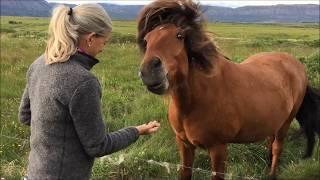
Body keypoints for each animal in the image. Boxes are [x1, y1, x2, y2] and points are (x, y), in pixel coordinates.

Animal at [136, 0, 316, 179]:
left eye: (179, 36)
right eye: (146, 39)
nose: (149, 71)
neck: (195, 101)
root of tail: (296, 64)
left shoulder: (218, 148)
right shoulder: (184, 144)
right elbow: (185, 172)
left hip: (285, 122)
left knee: (277, 147)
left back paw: (271, 174)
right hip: (273, 120)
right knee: (270, 143)